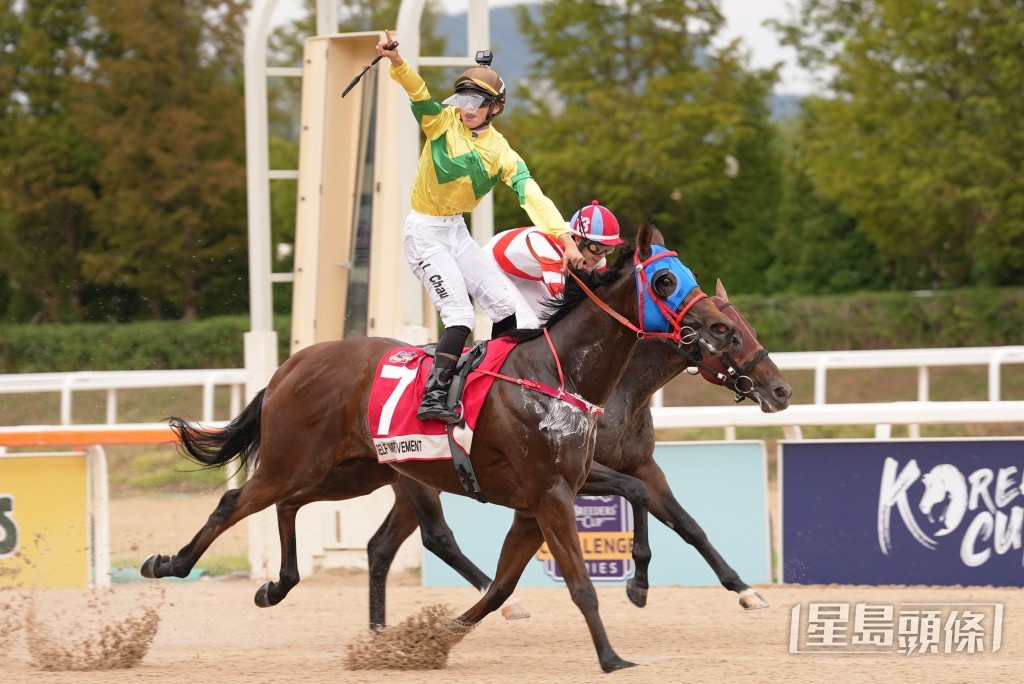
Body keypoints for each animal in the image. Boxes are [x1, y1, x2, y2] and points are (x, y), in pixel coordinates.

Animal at [140, 220, 741, 673]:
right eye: (664, 279)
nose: (721, 328)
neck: (556, 371)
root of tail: (290, 365)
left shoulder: (555, 490)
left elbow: (524, 571)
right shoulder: (550, 495)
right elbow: (578, 582)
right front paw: (613, 656)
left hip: (350, 472)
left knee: (295, 508)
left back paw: (279, 587)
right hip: (297, 461)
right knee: (233, 504)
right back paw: (167, 562)